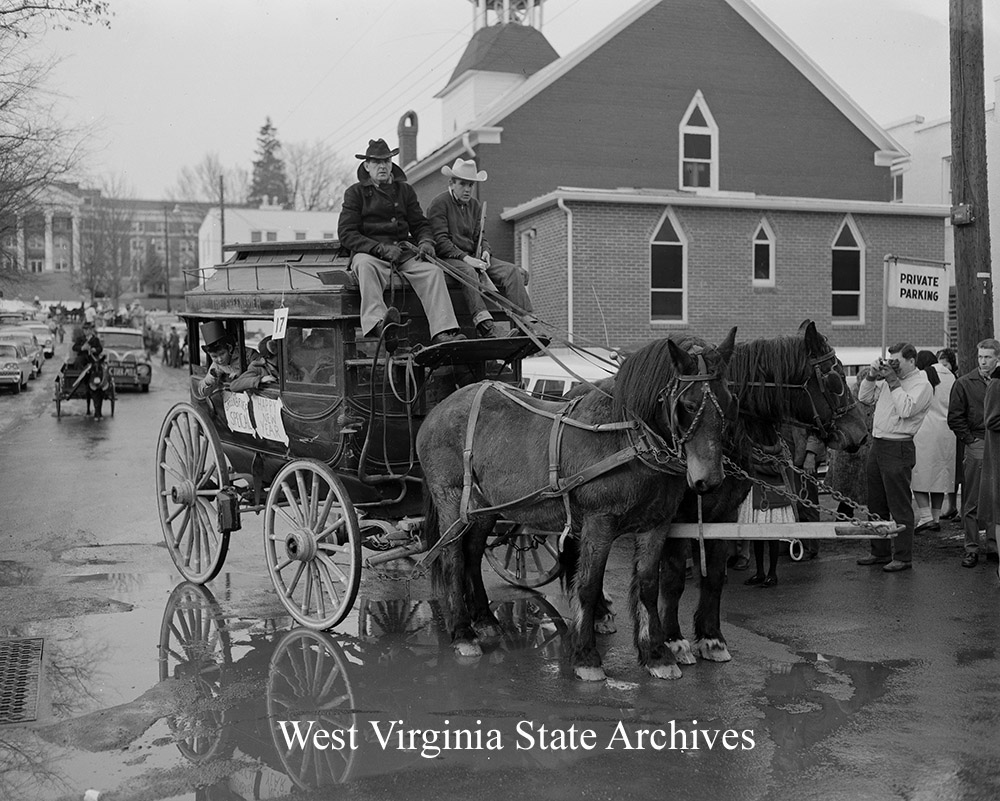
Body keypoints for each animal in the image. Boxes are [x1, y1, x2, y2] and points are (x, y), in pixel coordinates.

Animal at [414, 328, 736, 680]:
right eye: (689, 404)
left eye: (730, 401)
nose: (710, 480)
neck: (624, 437)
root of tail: (439, 409)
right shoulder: (600, 521)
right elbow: (589, 585)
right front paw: (586, 656)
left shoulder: (657, 524)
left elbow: (649, 584)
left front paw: (656, 655)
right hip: (451, 498)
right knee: (453, 558)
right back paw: (463, 632)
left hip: (483, 506)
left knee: (472, 554)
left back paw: (484, 620)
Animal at [656, 318, 868, 664]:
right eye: (836, 377)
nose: (861, 434)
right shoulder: (677, 518)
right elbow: (671, 579)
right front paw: (673, 640)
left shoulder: (724, 513)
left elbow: (713, 575)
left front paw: (711, 637)